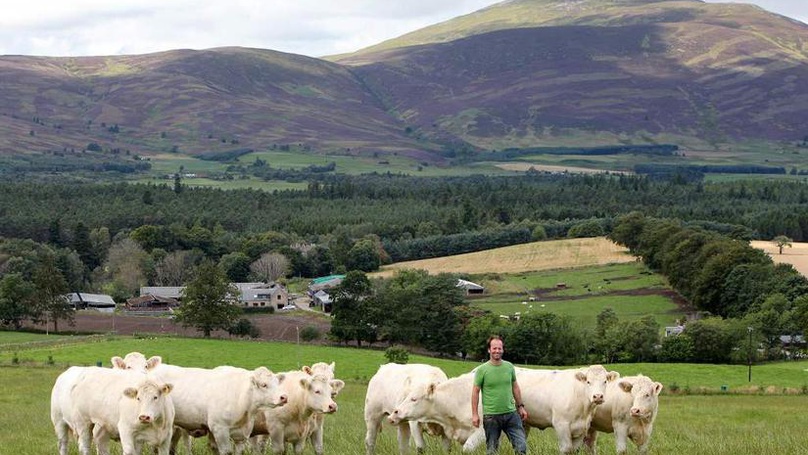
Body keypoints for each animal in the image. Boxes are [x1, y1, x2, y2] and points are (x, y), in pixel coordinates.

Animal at [151, 364, 288, 455]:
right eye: (264, 385)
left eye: (277, 383)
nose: (284, 397)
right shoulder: (220, 429)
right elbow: (226, 451)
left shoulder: (241, 435)